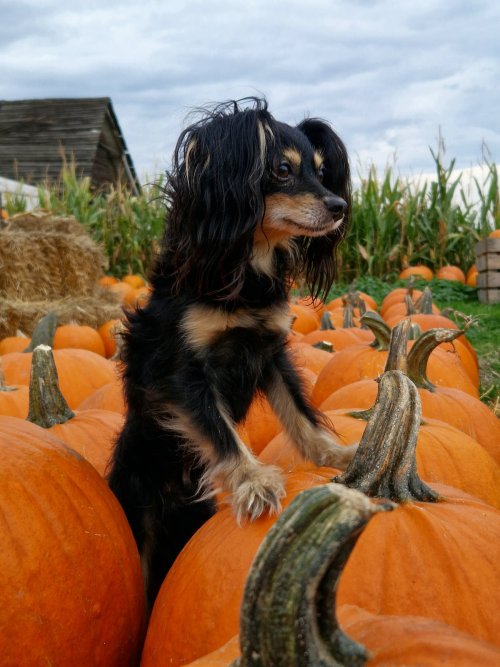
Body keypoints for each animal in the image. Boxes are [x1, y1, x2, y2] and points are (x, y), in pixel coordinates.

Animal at [107, 96, 354, 608]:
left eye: (322, 171)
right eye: (282, 169)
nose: (339, 205)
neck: (244, 267)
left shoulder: (270, 352)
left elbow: (300, 415)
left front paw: (335, 456)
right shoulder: (183, 372)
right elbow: (218, 428)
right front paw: (253, 482)